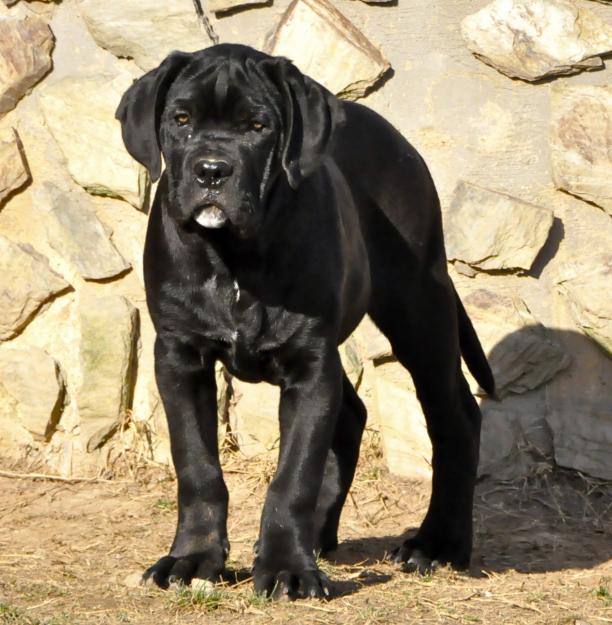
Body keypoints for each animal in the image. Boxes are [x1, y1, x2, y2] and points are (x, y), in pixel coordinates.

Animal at [117, 44, 494, 600]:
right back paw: (318, 534)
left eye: (257, 126)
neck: (235, 258)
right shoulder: (180, 357)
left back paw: (438, 544)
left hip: (420, 309)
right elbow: (197, 465)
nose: (212, 170)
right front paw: (193, 559)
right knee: (354, 415)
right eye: (181, 120)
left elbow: (293, 474)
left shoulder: (311, 362)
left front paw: (286, 569)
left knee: (455, 417)